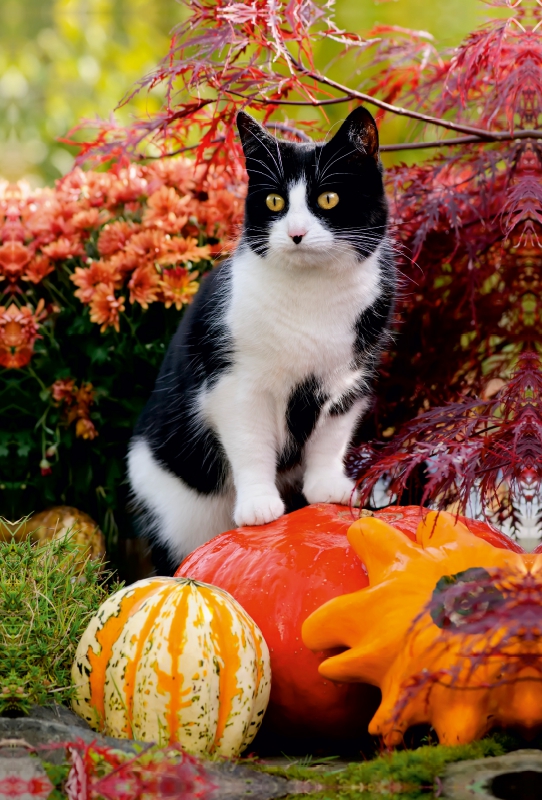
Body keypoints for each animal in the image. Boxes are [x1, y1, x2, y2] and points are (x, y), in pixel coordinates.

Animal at [130, 108, 398, 568]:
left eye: (328, 199)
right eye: (275, 201)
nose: (296, 233)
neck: (312, 296)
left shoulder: (351, 378)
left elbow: (332, 435)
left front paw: (326, 487)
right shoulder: (236, 385)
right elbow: (251, 443)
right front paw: (259, 505)